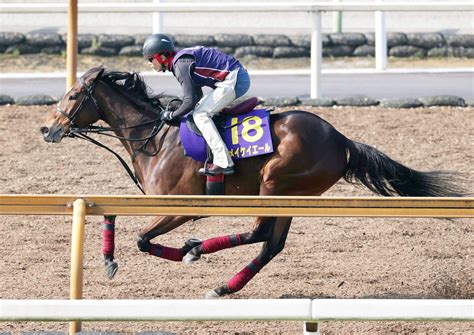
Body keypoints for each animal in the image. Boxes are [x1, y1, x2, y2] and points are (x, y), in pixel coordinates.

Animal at [40, 65, 462, 300]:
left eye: (74, 95)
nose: (48, 129)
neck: (155, 137)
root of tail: (342, 139)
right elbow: (112, 214)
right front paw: (109, 258)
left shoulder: (183, 207)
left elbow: (143, 240)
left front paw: (181, 252)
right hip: (291, 196)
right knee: (271, 244)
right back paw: (224, 283)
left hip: (276, 184)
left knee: (261, 234)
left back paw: (200, 254)